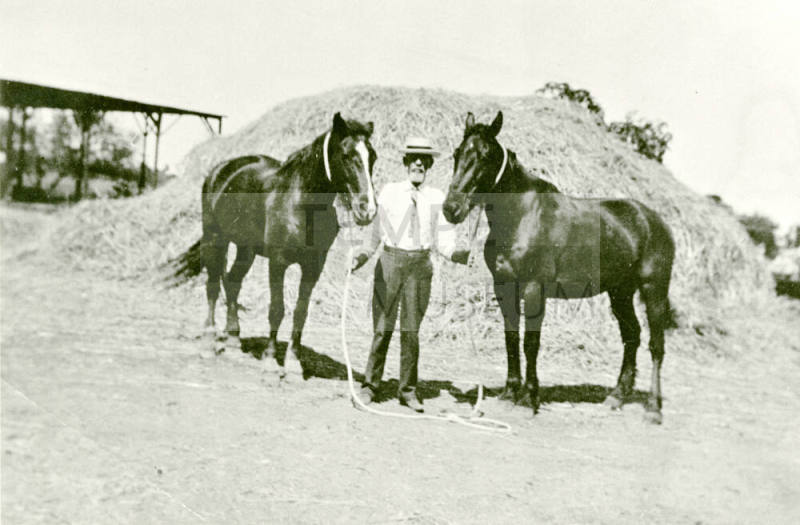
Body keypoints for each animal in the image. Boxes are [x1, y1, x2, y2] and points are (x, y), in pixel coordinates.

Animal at [172, 112, 377, 376]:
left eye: (373, 157)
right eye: (347, 155)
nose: (368, 209)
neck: (300, 202)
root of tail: (220, 170)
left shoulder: (313, 266)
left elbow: (300, 312)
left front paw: (294, 361)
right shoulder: (278, 262)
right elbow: (277, 309)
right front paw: (270, 358)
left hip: (246, 250)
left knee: (232, 282)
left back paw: (233, 339)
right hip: (215, 239)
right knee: (213, 284)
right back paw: (210, 336)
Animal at [442, 111, 675, 423]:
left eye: (485, 155)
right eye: (457, 153)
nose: (451, 209)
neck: (522, 217)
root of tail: (655, 221)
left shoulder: (534, 289)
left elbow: (530, 343)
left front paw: (529, 399)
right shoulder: (504, 287)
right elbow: (511, 338)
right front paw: (510, 392)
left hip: (654, 291)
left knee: (656, 345)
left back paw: (653, 408)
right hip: (620, 293)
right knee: (632, 337)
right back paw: (616, 397)